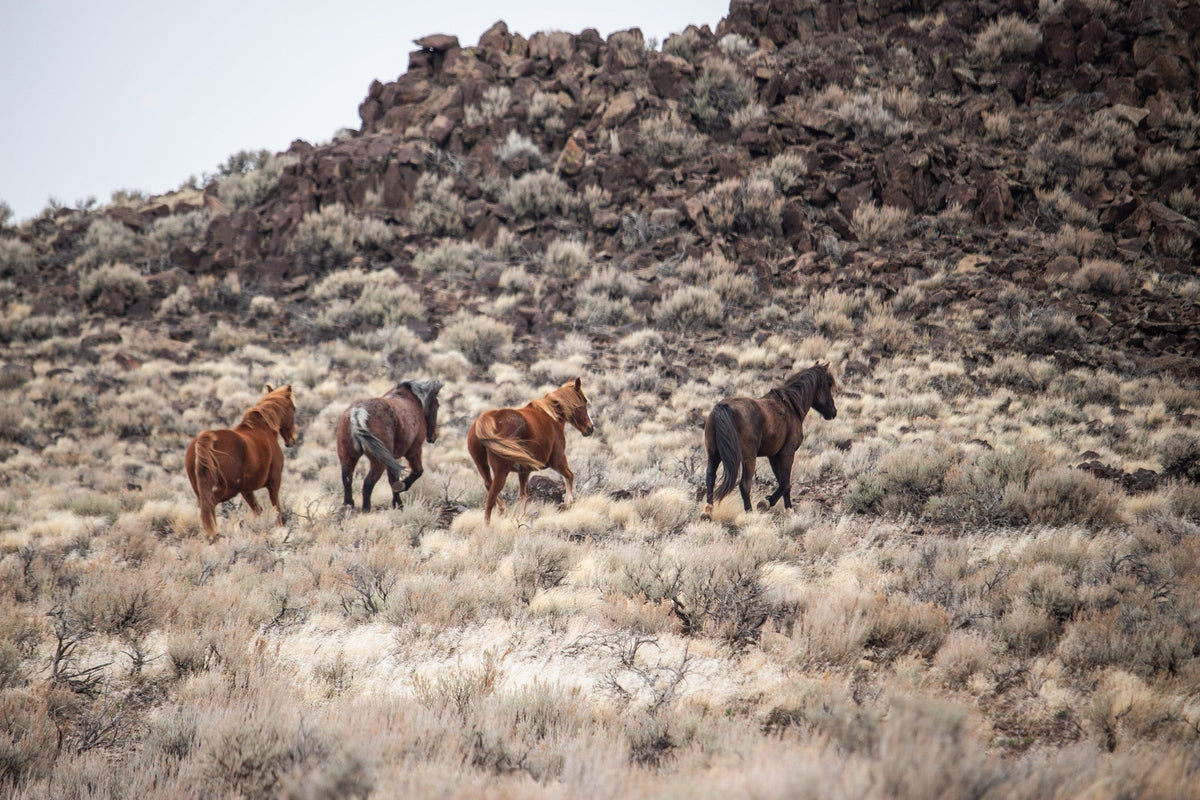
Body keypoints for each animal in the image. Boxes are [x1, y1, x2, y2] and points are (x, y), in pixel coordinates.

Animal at [185, 384, 298, 541]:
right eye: (293, 408)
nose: (292, 440)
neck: (263, 428)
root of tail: (205, 439)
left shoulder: (246, 490)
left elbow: (258, 511)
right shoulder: (274, 481)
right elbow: (277, 509)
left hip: (202, 490)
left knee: (205, 509)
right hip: (228, 489)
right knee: (210, 505)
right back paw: (215, 535)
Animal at [336, 379, 442, 511]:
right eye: (437, 405)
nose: (434, 435)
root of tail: (358, 413)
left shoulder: (391, 459)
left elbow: (392, 479)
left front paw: (398, 504)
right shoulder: (414, 450)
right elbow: (417, 472)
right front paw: (402, 487)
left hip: (348, 456)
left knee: (347, 478)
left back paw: (348, 504)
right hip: (378, 462)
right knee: (368, 483)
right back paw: (366, 509)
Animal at [467, 377, 595, 524]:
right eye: (584, 402)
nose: (590, 428)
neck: (552, 417)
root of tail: (486, 419)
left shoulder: (524, 471)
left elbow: (523, 495)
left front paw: (521, 518)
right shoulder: (558, 460)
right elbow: (570, 476)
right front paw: (568, 502)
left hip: (482, 465)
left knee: (488, 485)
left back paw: (503, 510)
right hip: (501, 471)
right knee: (490, 498)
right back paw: (488, 526)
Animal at [700, 363, 837, 520]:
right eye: (828, 383)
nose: (833, 412)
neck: (790, 406)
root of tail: (722, 408)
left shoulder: (773, 456)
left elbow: (782, 482)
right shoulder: (787, 453)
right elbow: (785, 483)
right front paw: (772, 505)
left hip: (714, 454)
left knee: (710, 477)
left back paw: (707, 511)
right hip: (748, 458)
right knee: (744, 484)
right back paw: (750, 513)